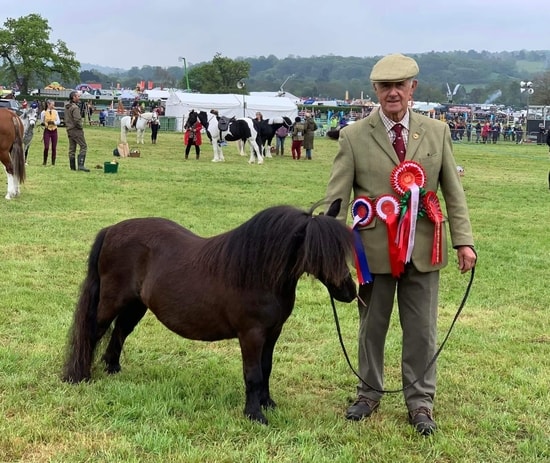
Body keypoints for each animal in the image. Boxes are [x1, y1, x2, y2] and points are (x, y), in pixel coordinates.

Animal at [63, 199, 358, 424]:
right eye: (320, 252)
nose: (350, 292)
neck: (257, 273)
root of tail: (111, 230)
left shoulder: (273, 333)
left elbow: (267, 368)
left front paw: (268, 403)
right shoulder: (251, 335)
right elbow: (253, 374)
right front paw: (254, 415)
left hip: (135, 305)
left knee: (120, 332)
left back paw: (112, 368)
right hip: (110, 303)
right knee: (92, 332)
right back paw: (79, 376)